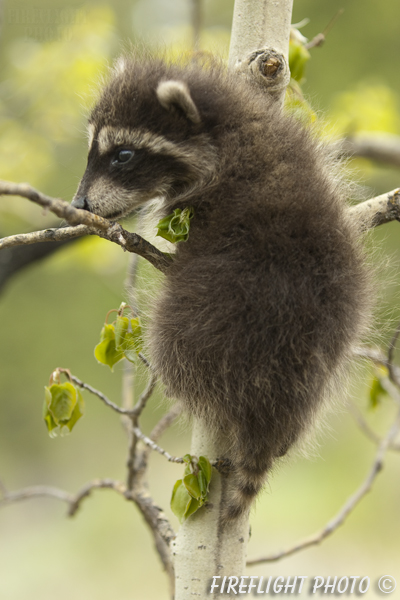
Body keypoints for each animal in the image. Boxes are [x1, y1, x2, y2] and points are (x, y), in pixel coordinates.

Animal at [72, 54, 372, 524]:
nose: (78, 205)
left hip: (216, 317)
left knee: (173, 343)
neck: (225, 127)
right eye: (92, 151)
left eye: (122, 155)